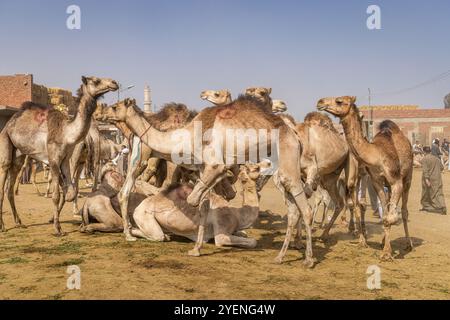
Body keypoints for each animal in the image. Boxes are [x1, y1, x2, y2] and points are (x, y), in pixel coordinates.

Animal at [0, 76, 118, 234]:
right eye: (96, 80)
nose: (114, 83)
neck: (66, 133)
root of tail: (10, 122)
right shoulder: (54, 159)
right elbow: (56, 195)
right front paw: (57, 228)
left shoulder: (65, 160)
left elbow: (70, 191)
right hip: (6, 142)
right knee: (4, 179)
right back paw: (3, 226)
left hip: (19, 154)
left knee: (10, 187)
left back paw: (19, 222)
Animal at [128, 161, 268, 249]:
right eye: (255, 168)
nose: (268, 162)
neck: (238, 215)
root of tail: (140, 205)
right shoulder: (222, 230)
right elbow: (252, 242)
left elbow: (244, 234)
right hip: (144, 214)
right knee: (157, 235)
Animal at [316, 95, 412, 260]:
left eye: (339, 101)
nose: (320, 102)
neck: (376, 154)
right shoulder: (376, 181)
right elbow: (383, 214)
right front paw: (385, 249)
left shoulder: (395, 180)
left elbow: (390, 216)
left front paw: (386, 252)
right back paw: (382, 240)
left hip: (407, 178)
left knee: (404, 211)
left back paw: (408, 244)